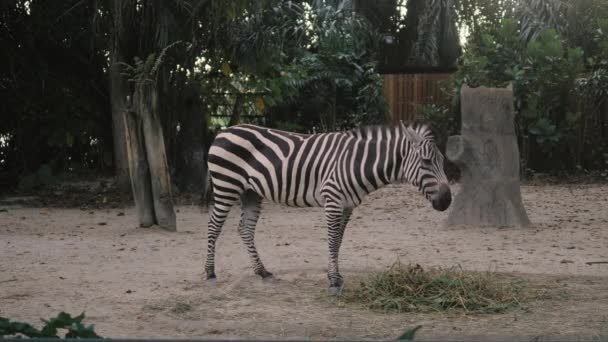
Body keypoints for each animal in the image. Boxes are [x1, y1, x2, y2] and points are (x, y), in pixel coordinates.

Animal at [204, 121, 452, 292]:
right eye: (426, 162)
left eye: (442, 162)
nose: (447, 201)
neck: (358, 162)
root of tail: (223, 131)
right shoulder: (333, 199)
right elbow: (332, 240)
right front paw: (333, 281)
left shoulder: (348, 206)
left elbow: (339, 241)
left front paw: (337, 276)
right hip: (226, 186)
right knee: (214, 227)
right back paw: (210, 273)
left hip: (251, 193)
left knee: (245, 229)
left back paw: (262, 271)